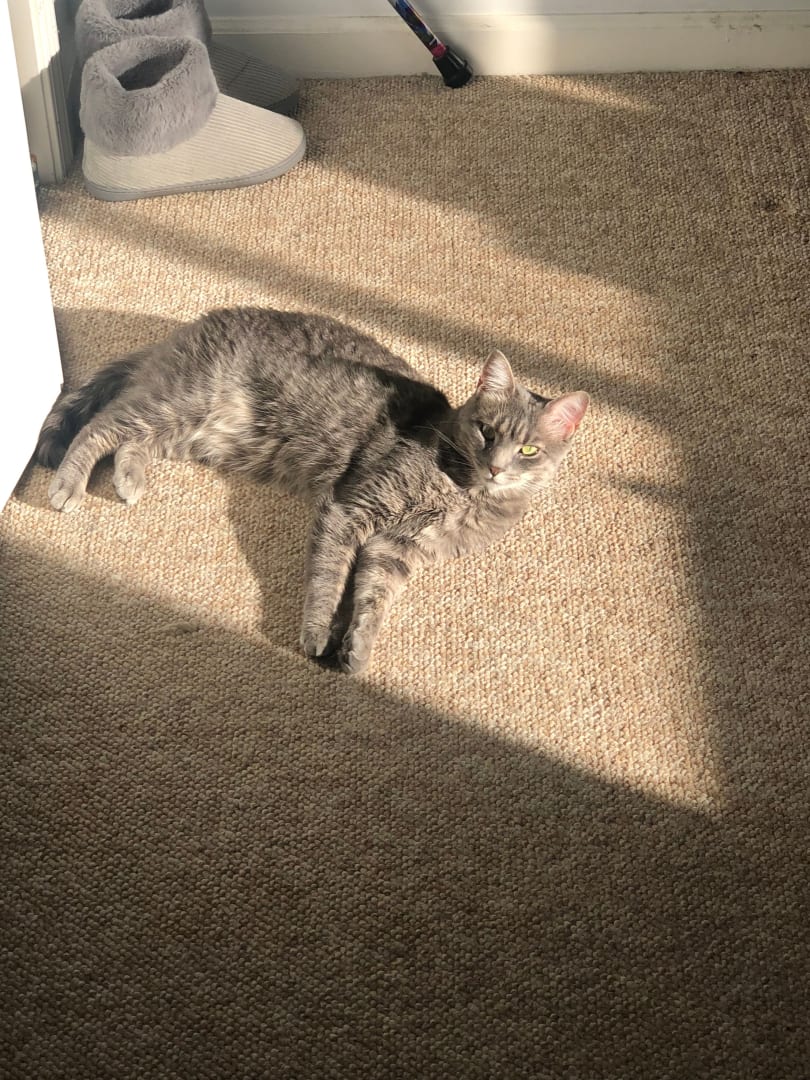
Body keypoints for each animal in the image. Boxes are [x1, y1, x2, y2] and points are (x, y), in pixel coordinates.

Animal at [36, 307, 589, 674]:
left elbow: (372, 600)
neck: (459, 492)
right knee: (100, 429)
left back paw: (128, 480)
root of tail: (186, 328)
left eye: (529, 450)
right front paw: (319, 634)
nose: (496, 468)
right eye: (486, 431)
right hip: (180, 405)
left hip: (184, 432)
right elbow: (328, 581)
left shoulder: (395, 551)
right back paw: (67, 485)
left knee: (130, 444)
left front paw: (357, 648)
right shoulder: (352, 507)